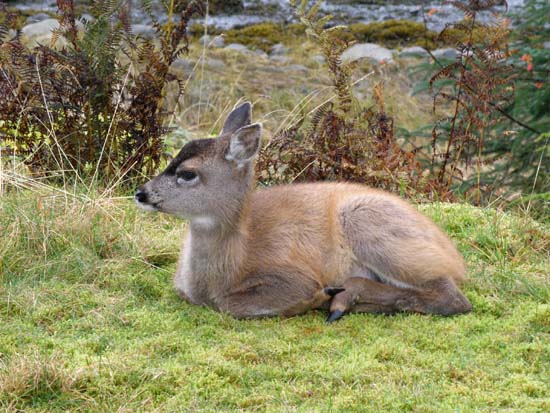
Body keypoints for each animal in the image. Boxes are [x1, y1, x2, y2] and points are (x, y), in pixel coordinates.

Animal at [135, 101, 474, 320]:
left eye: (187, 173)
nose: (141, 192)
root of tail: (455, 257)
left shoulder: (291, 273)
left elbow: (235, 306)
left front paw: (316, 297)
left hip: (371, 226)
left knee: (452, 297)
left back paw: (341, 300)